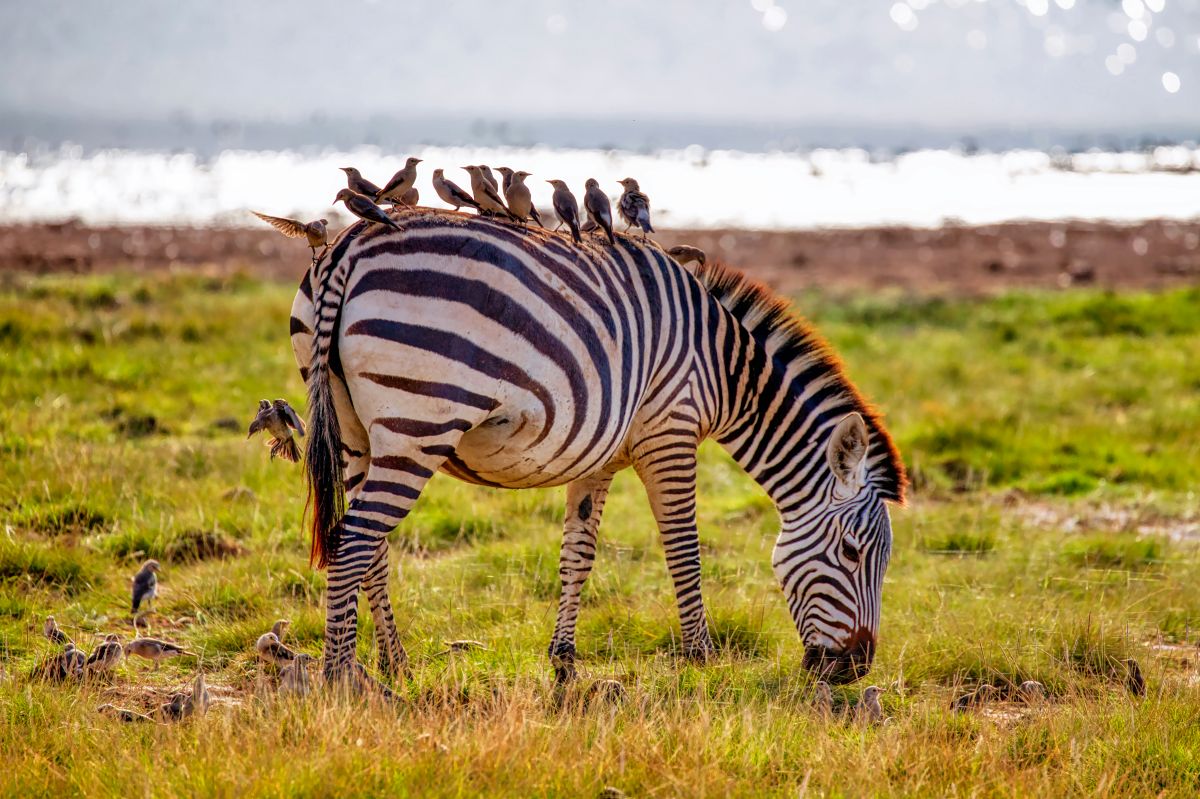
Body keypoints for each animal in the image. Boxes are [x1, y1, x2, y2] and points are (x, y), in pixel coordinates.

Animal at [289, 209, 906, 689]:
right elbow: (684, 548)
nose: (853, 670)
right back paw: (339, 678)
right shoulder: (670, 431)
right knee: (355, 540)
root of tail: (350, 242)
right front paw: (701, 659)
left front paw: (563, 663)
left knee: (369, 545)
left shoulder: (601, 455)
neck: (723, 366)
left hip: (355, 434)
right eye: (853, 553)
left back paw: (394, 665)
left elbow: (577, 555)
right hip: (417, 423)